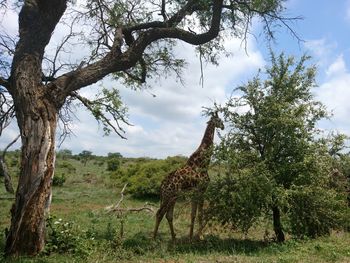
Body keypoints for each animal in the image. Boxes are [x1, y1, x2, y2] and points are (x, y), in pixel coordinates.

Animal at [153, 112, 224, 242]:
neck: (203, 163)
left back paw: (174, 237)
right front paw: (200, 236)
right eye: (219, 120)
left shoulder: (195, 192)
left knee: (168, 215)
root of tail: (161, 185)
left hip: (173, 197)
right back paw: (154, 238)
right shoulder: (201, 190)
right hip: (168, 196)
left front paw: (191, 237)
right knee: (159, 213)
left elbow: (193, 214)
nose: (223, 126)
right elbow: (200, 213)